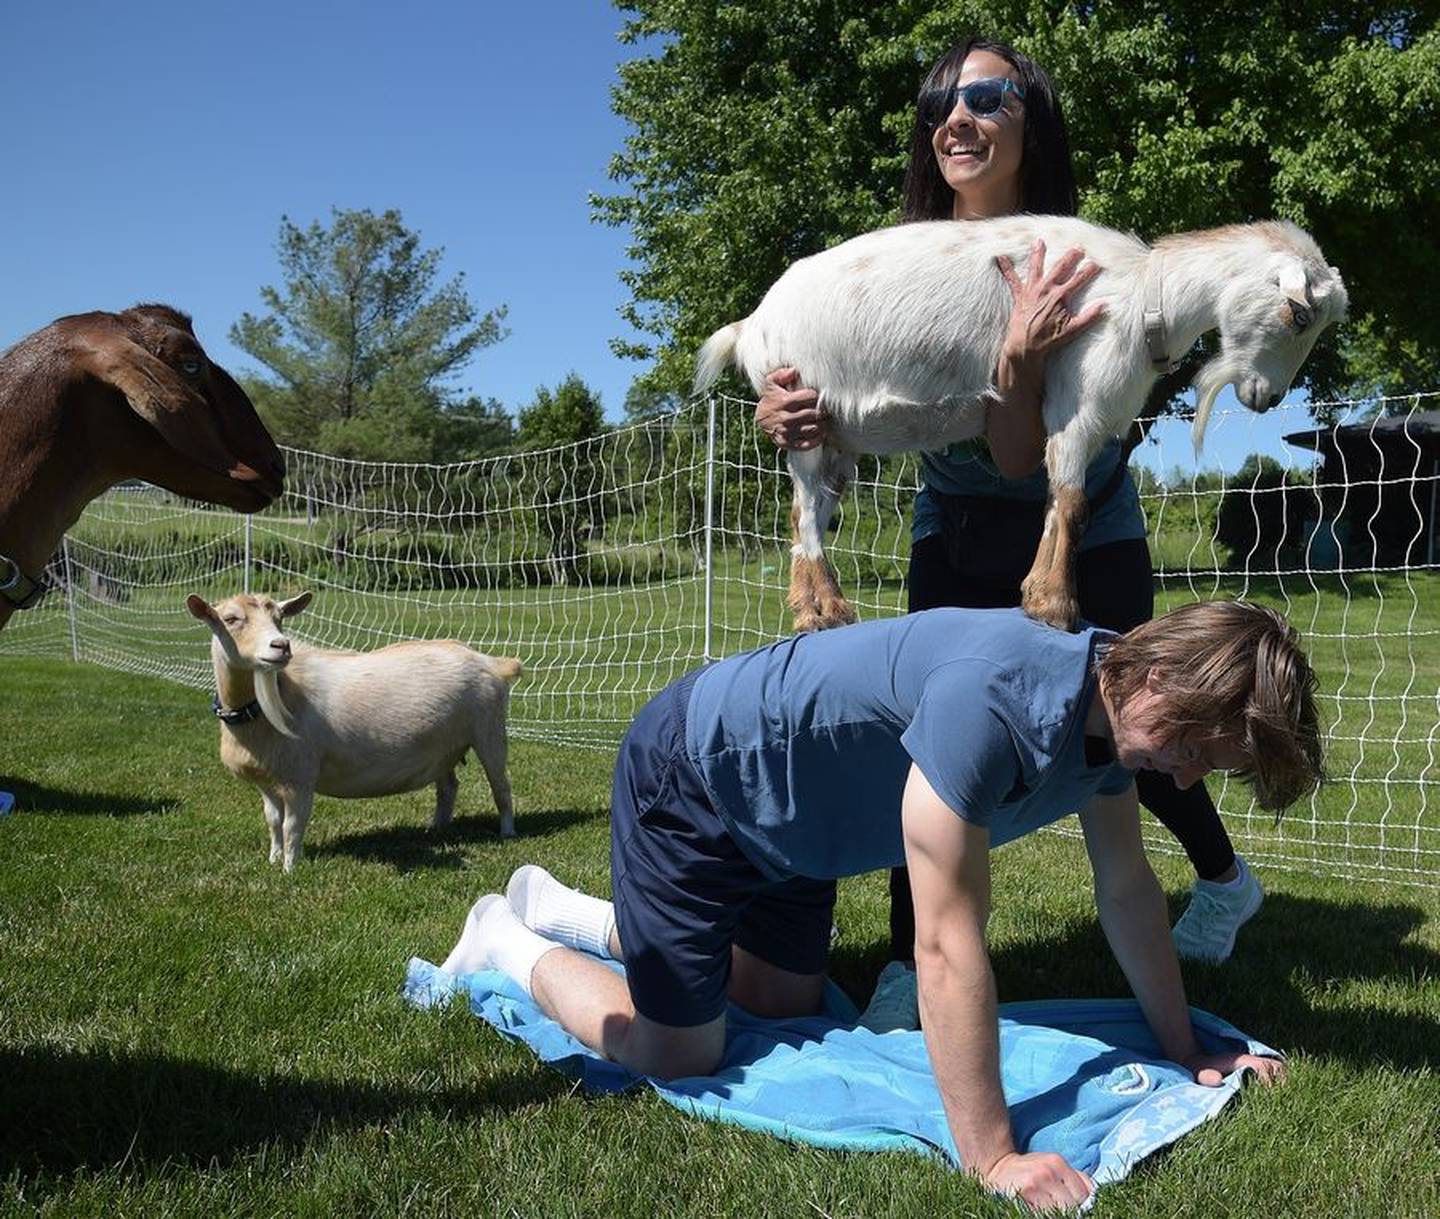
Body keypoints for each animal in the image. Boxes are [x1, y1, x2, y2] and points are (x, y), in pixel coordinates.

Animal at [187, 591, 523, 871]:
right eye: (230, 619)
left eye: (279, 618)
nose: (281, 646)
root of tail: (489, 660)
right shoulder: (267, 780)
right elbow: (272, 821)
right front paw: (273, 859)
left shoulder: (300, 777)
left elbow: (292, 825)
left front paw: (290, 869)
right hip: (443, 745)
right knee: (449, 786)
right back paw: (436, 828)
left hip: (489, 730)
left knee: (501, 786)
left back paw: (507, 832)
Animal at [694, 217, 1347, 633]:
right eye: (1298, 314)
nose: (1267, 396)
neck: (1144, 294)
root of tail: (751, 326)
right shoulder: (1080, 396)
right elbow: (1073, 502)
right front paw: (1055, 605)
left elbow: (1062, 500)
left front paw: (1040, 595)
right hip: (800, 406)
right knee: (806, 513)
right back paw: (825, 609)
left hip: (834, 435)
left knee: (805, 513)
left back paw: (812, 609)